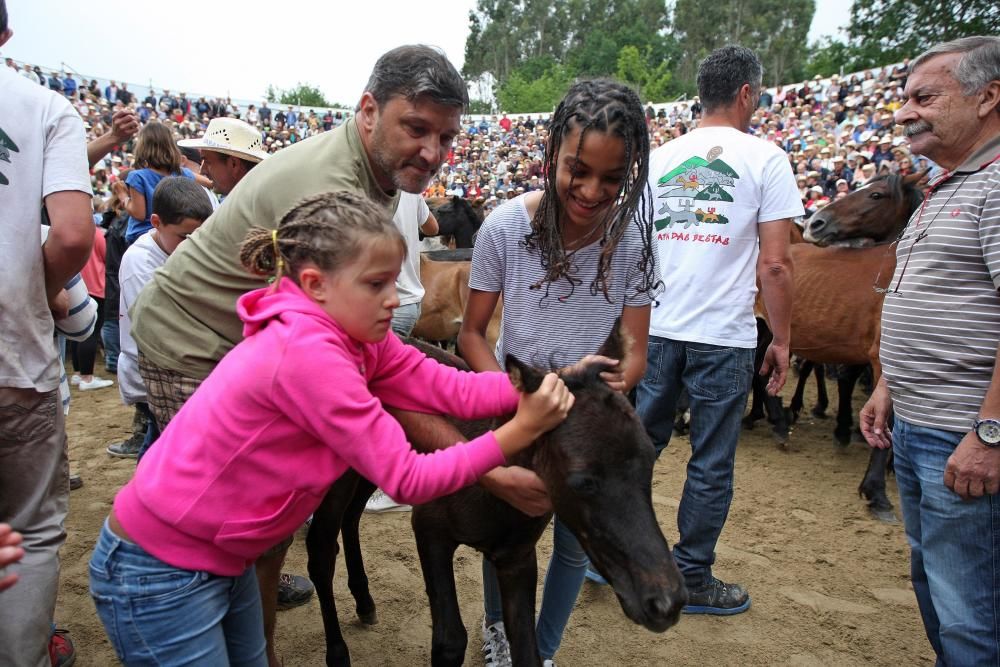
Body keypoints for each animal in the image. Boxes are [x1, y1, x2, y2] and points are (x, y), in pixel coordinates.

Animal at [304, 330, 688, 667]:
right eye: (582, 481)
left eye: (650, 460)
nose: (667, 602)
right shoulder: (429, 529)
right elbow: (449, 641)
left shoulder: (515, 556)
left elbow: (527, 649)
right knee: (321, 549)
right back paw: (337, 653)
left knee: (351, 517)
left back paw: (364, 600)